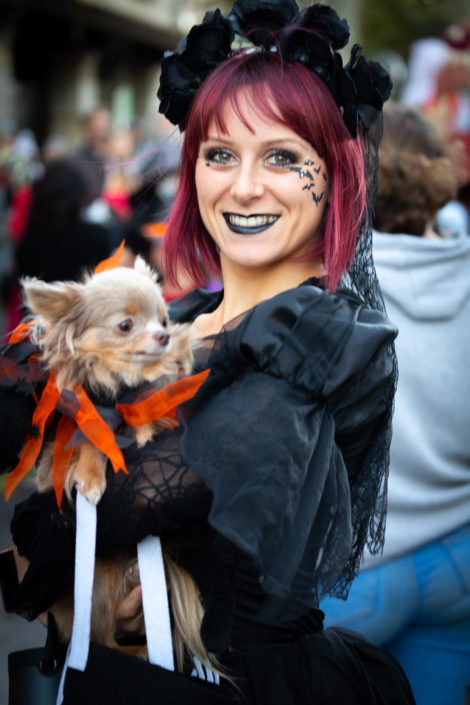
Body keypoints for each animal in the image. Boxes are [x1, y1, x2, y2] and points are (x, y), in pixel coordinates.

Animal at [18, 257, 219, 673]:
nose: (163, 336)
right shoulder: (76, 426)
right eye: (125, 325)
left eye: (164, 320)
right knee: (101, 637)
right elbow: (90, 442)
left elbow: (149, 417)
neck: (121, 385)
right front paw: (91, 477)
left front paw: (142, 433)